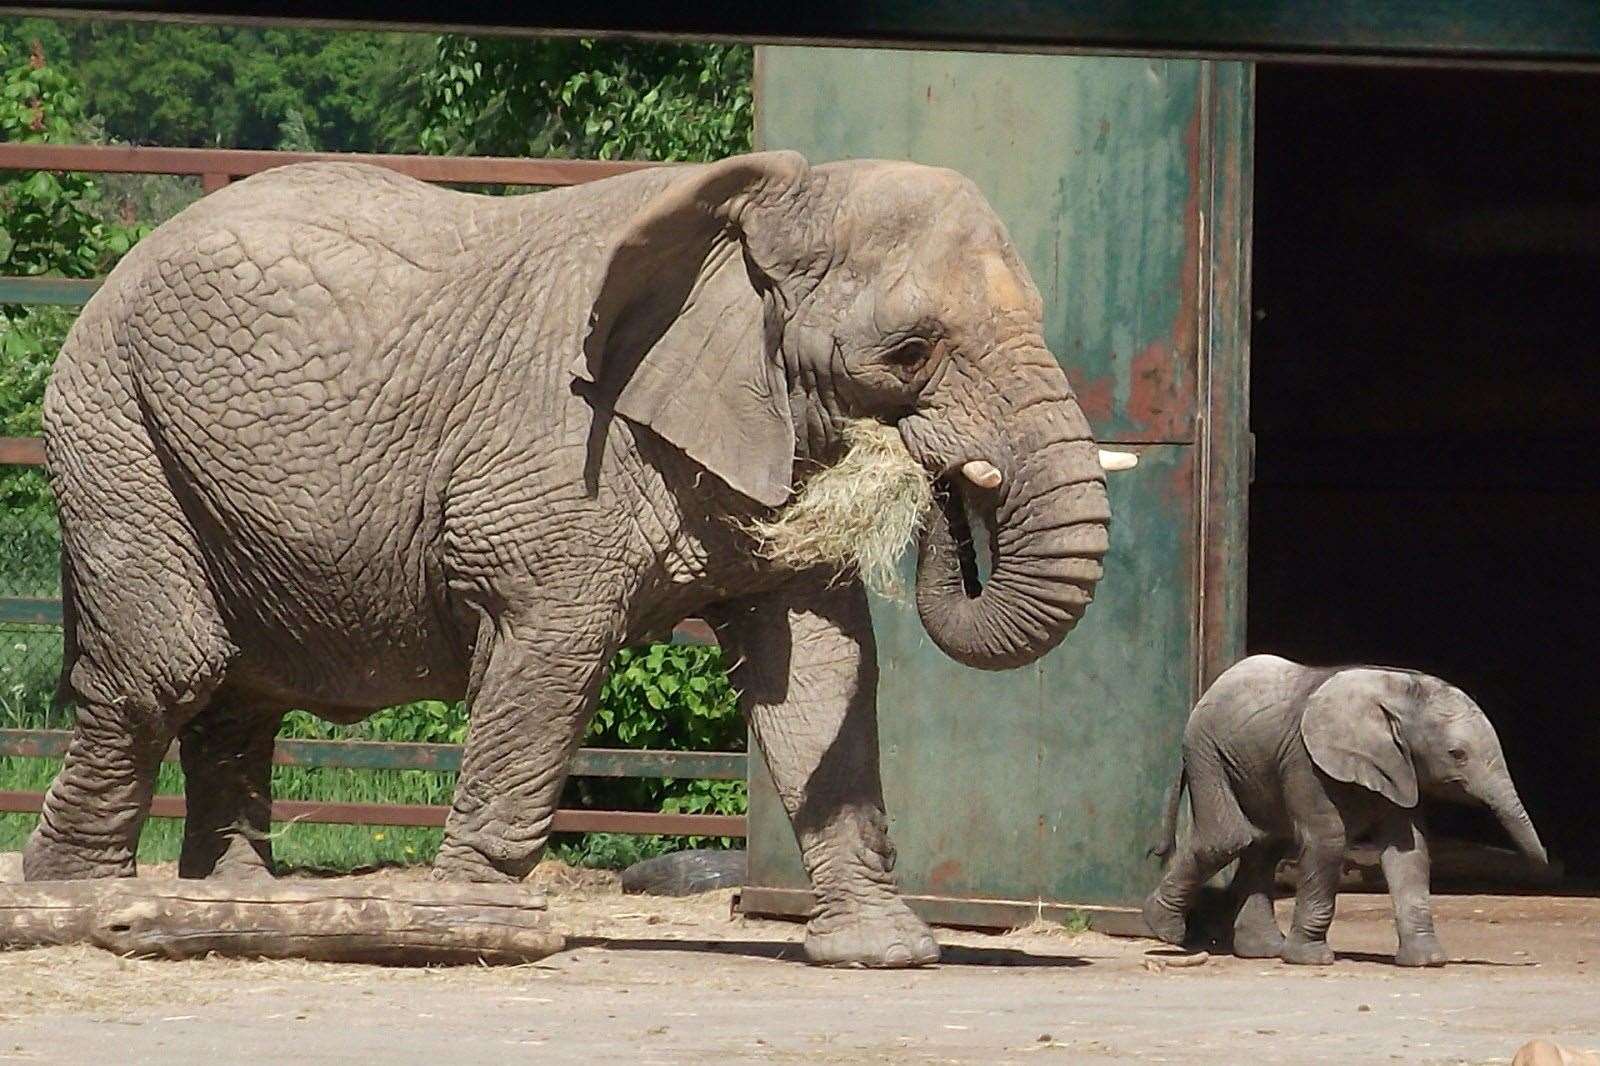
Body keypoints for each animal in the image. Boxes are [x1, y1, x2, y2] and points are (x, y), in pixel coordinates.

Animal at [25, 151, 1107, 960]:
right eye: (911, 352)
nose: (954, 492)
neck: (752, 212)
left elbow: (822, 669)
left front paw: (884, 952)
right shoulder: (556, 455)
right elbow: (554, 647)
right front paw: (471, 927)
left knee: (240, 691)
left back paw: (236, 901)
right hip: (113, 428)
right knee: (168, 670)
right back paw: (74, 905)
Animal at [1145, 653, 1542, 966]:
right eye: (1457, 754)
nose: (1546, 867)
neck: (1397, 692)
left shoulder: (1399, 766)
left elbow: (1408, 851)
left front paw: (1428, 961)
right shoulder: (1304, 760)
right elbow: (1327, 841)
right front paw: (1311, 959)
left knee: (1265, 845)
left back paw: (1264, 950)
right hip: (1207, 753)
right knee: (1228, 839)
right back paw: (1163, 931)